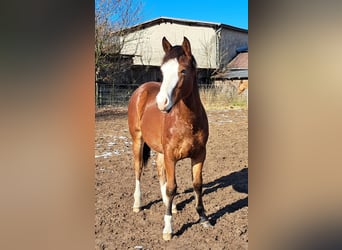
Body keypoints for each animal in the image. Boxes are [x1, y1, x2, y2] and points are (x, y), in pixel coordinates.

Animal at [127, 36, 210, 240]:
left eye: (183, 70)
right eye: (163, 71)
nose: (161, 103)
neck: (187, 120)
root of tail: (141, 90)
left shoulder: (199, 155)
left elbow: (197, 184)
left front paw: (203, 217)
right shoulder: (171, 156)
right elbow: (172, 187)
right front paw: (168, 229)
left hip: (160, 150)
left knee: (160, 171)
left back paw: (169, 205)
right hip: (138, 141)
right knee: (138, 169)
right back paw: (137, 204)